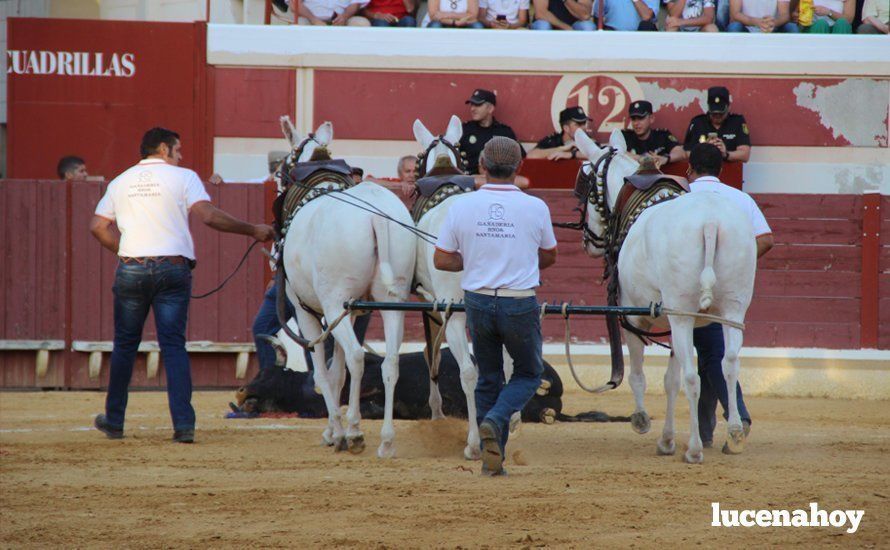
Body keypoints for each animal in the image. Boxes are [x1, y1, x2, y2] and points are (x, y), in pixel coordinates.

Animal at [278, 118, 416, 460]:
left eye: (283, 168)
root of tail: (377, 216)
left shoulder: (306, 312)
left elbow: (322, 372)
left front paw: (337, 432)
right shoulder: (351, 313)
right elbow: (338, 372)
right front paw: (347, 425)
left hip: (331, 304)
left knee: (356, 356)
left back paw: (352, 438)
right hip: (392, 303)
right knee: (390, 362)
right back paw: (386, 441)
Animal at [572, 129, 752, 466]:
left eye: (584, 189)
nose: (588, 243)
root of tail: (710, 223)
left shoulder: (634, 318)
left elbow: (639, 375)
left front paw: (642, 420)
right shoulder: (673, 322)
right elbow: (671, 381)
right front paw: (667, 439)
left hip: (682, 317)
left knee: (694, 379)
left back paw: (694, 449)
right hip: (731, 312)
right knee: (729, 364)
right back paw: (734, 434)